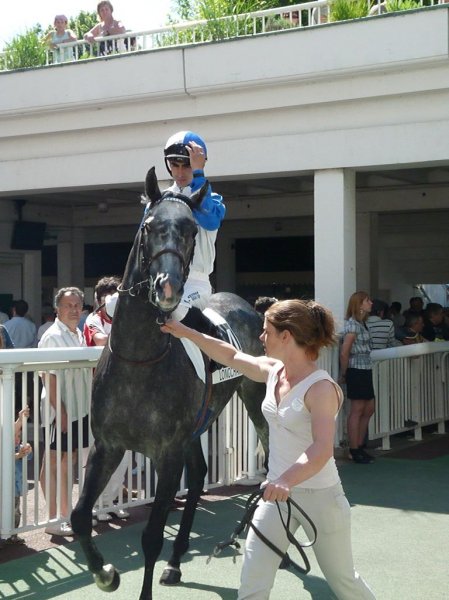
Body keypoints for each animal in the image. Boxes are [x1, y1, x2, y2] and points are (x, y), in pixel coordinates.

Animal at [71, 166, 268, 596]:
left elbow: (151, 537)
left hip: (254, 397)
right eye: (148, 226)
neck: (139, 359)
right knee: (199, 476)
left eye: (192, 230)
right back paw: (176, 562)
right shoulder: (107, 446)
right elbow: (79, 516)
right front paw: (105, 573)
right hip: (197, 427)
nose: (167, 288)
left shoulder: (166, 453)